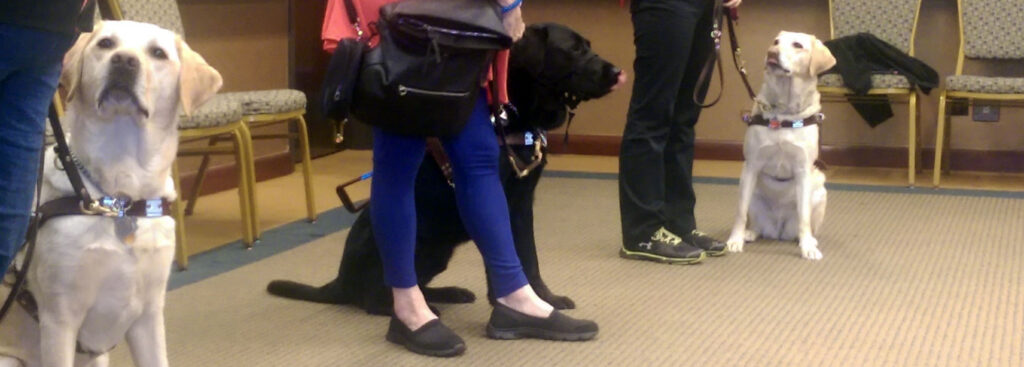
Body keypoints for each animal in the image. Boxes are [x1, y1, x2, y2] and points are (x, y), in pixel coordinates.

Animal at [0, 20, 221, 367]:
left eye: (158, 53)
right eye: (105, 44)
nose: (124, 61)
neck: (120, 198)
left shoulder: (148, 316)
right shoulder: (60, 319)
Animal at [268, 23, 618, 315]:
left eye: (587, 46)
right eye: (574, 50)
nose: (617, 72)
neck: (512, 117)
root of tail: (339, 281)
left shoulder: (521, 203)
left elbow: (528, 257)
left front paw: (545, 298)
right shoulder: (493, 199)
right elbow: (505, 258)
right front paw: (509, 304)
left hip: (438, 251)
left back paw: (448, 294)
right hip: (412, 243)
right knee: (376, 295)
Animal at [724, 31, 835, 261]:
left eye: (797, 45)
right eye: (775, 42)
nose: (772, 53)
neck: (784, 111)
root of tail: (778, 230)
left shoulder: (803, 170)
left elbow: (804, 217)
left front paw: (808, 247)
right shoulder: (751, 166)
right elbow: (740, 212)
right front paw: (735, 239)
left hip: (820, 190)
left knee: (804, 225)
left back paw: (808, 240)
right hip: (751, 191)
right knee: (754, 221)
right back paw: (750, 232)